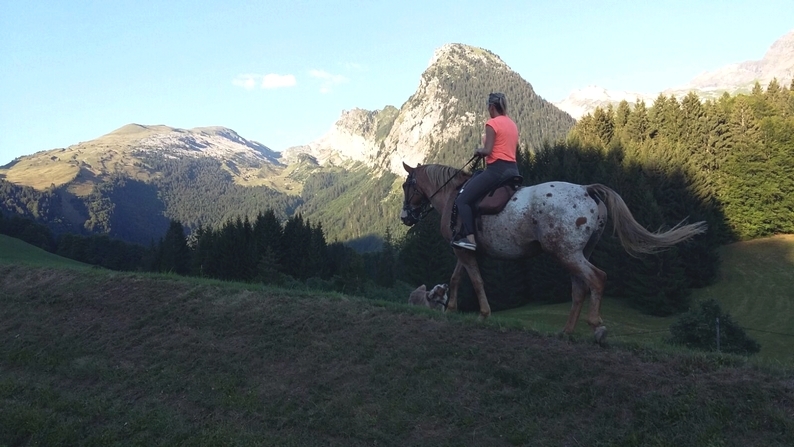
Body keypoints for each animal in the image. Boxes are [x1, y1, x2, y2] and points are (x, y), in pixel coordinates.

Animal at [396, 163, 704, 344]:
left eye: (406, 185)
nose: (405, 217)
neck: (453, 196)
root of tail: (587, 190)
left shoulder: (463, 250)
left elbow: (476, 280)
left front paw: (482, 314)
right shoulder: (464, 249)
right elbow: (458, 277)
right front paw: (451, 310)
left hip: (566, 253)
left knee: (597, 278)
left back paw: (596, 327)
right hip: (577, 252)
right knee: (580, 288)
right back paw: (567, 331)